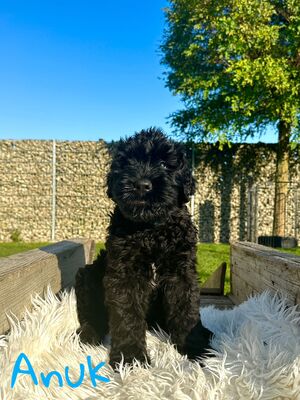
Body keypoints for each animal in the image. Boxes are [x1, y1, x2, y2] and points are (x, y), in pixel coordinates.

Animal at [75, 128, 211, 368]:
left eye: (165, 164)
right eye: (128, 163)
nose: (141, 185)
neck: (151, 229)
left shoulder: (182, 272)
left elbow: (187, 310)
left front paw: (195, 347)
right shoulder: (124, 274)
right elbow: (127, 315)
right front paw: (130, 359)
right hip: (88, 275)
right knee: (91, 314)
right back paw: (89, 335)